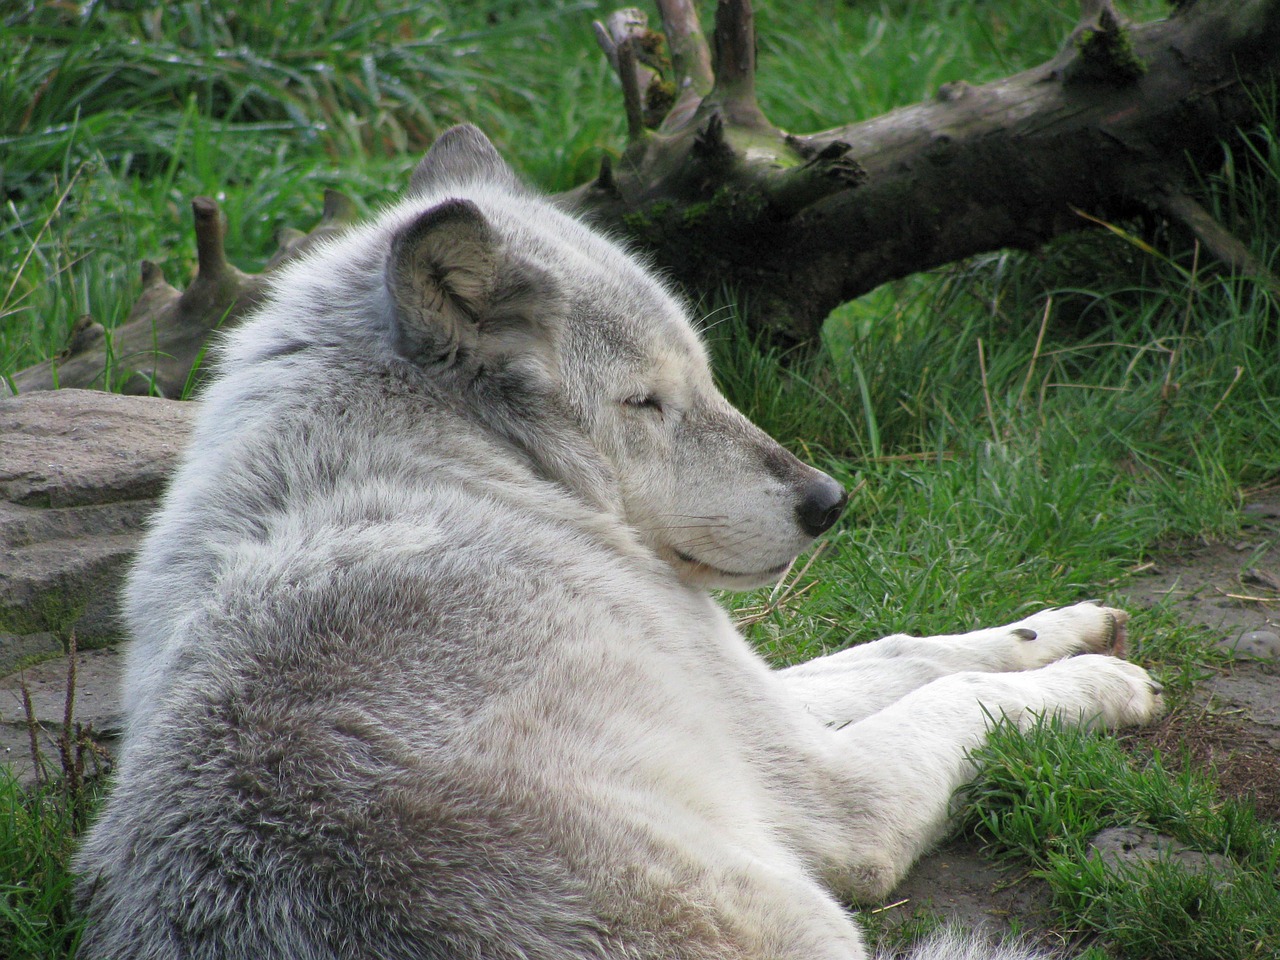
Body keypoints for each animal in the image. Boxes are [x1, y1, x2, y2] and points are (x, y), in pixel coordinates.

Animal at [74, 126, 1167, 960]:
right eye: (645, 403)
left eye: (707, 378)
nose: (829, 501)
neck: (456, 469)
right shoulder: (834, 793)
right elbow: (962, 697)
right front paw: (1105, 684)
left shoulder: (740, 684)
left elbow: (904, 651)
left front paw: (1068, 626)